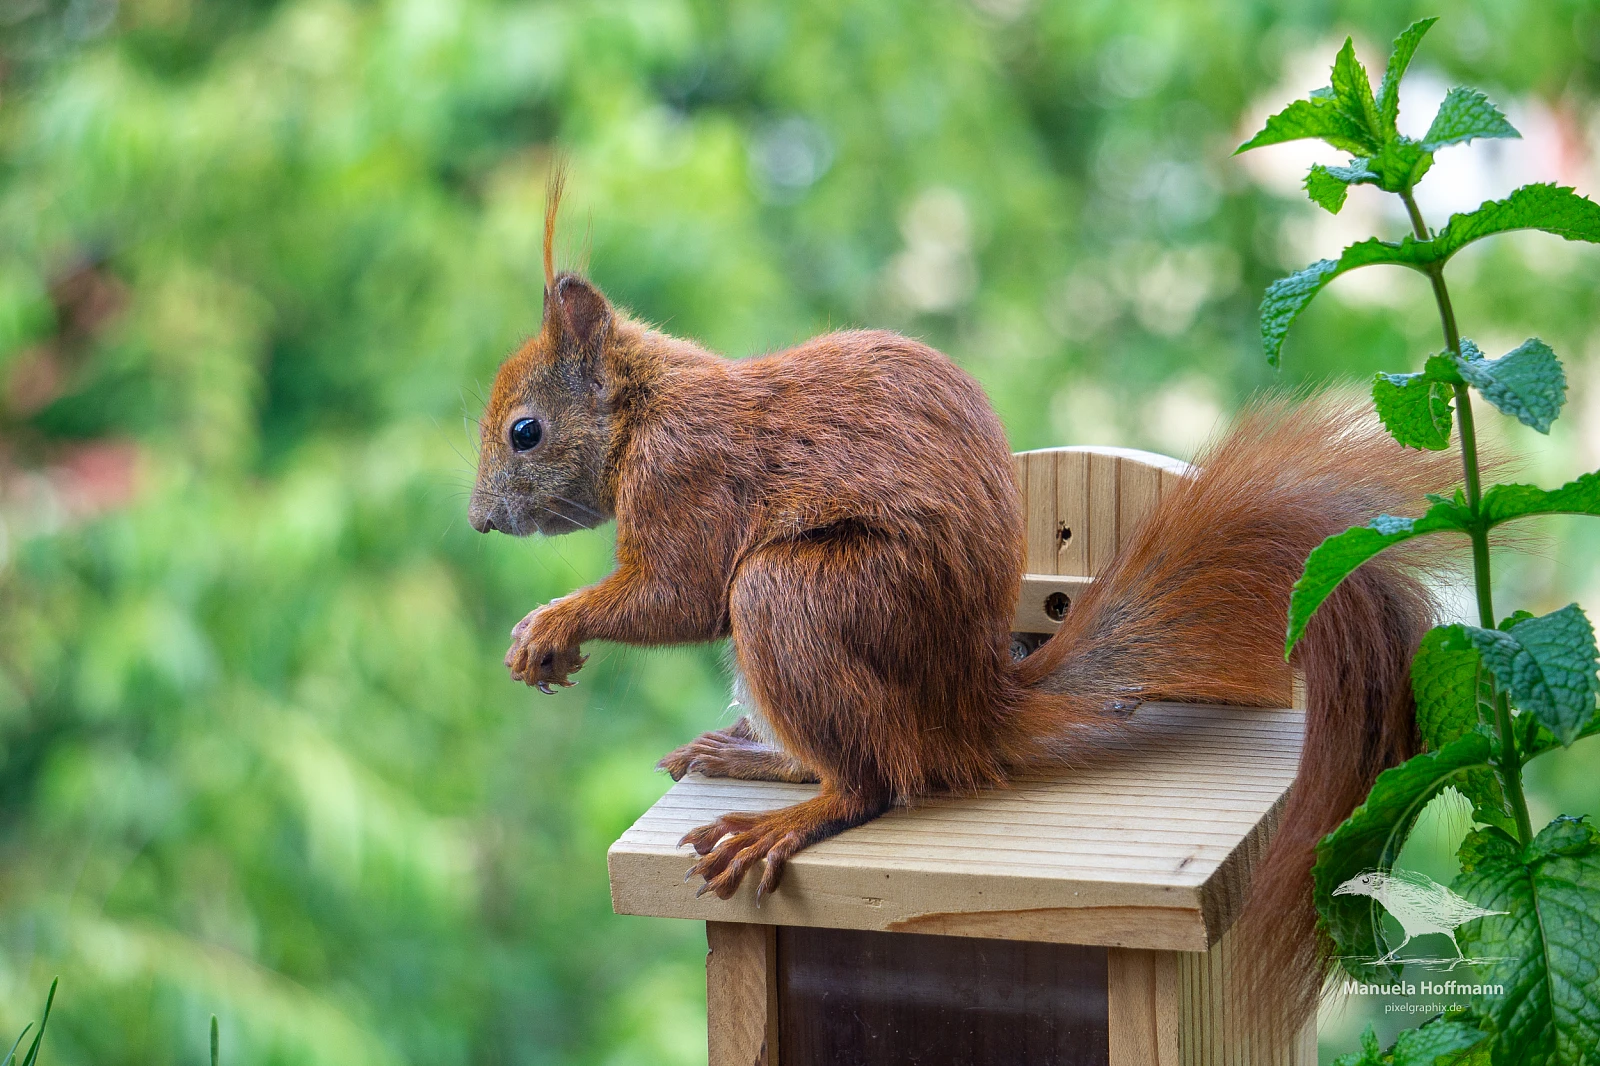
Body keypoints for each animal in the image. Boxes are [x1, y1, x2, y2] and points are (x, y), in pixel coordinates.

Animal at [468, 173, 1459, 1032]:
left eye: (527, 432)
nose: (478, 522)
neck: (645, 409)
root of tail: (969, 707)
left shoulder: (688, 476)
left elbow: (682, 593)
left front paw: (550, 626)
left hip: (796, 595)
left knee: (876, 778)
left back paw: (792, 813)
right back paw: (755, 758)